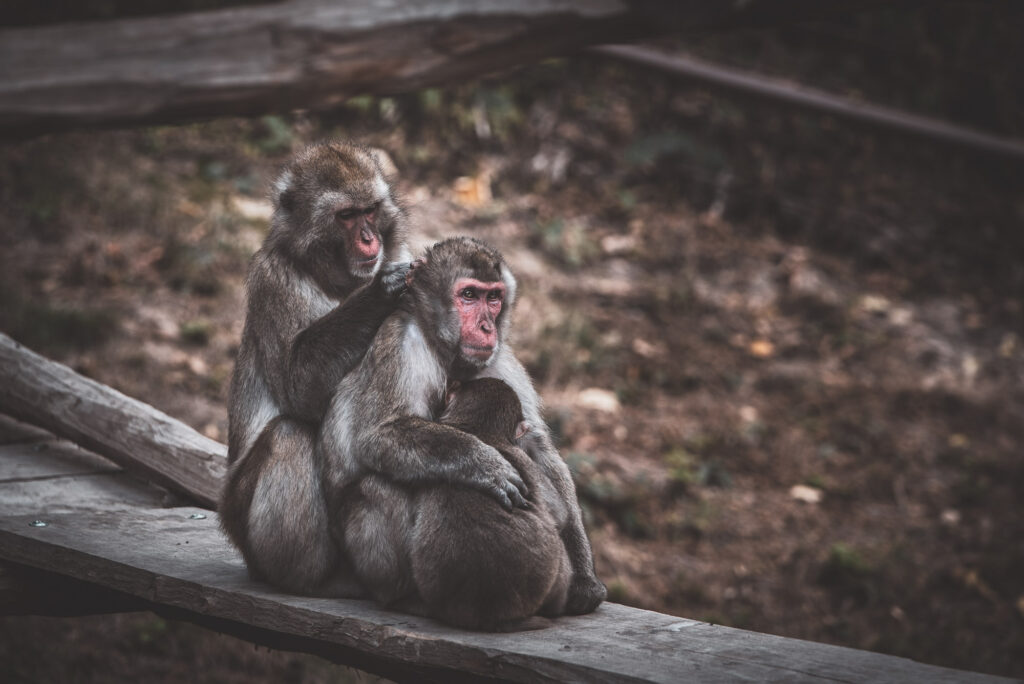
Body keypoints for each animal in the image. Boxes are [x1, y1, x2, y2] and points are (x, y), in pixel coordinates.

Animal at [219, 141, 412, 596]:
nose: (369, 238)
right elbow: (297, 390)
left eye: (370, 210)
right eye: (346, 216)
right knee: (290, 435)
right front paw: (381, 291)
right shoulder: (272, 279)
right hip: (241, 523)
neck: (337, 280)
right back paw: (303, 578)